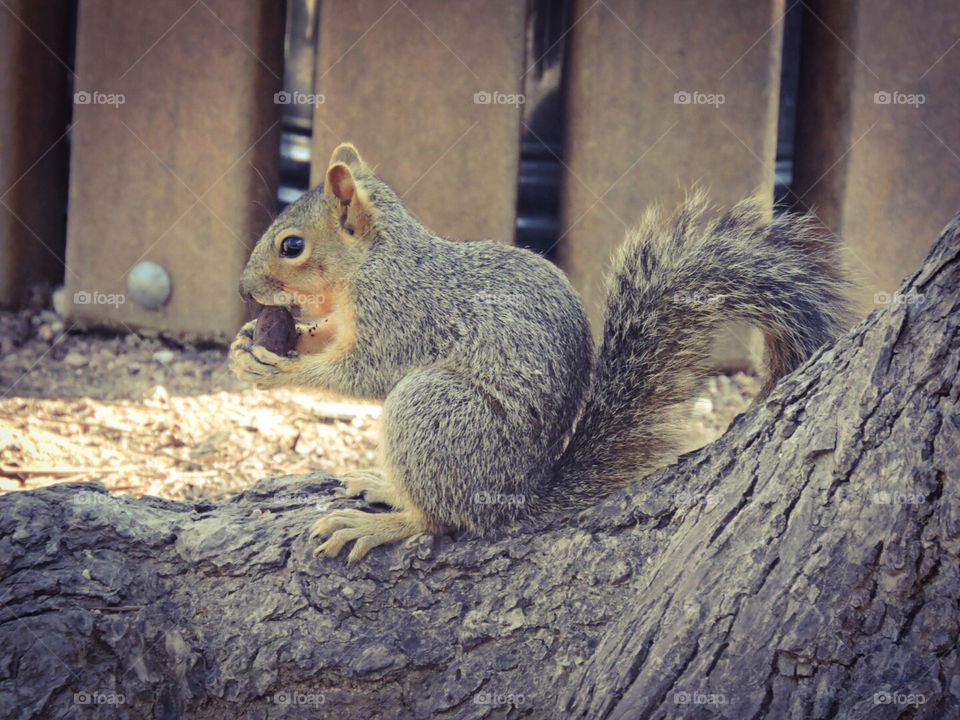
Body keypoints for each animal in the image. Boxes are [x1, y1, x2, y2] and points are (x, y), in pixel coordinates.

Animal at [230, 142, 853, 563]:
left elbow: (366, 372)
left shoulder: (401, 313)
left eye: (292, 246)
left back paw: (383, 523)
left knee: (442, 520)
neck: (370, 264)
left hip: (434, 410)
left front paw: (280, 366)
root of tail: (520, 497)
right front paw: (248, 346)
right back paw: (384, 487)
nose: (243, 289)